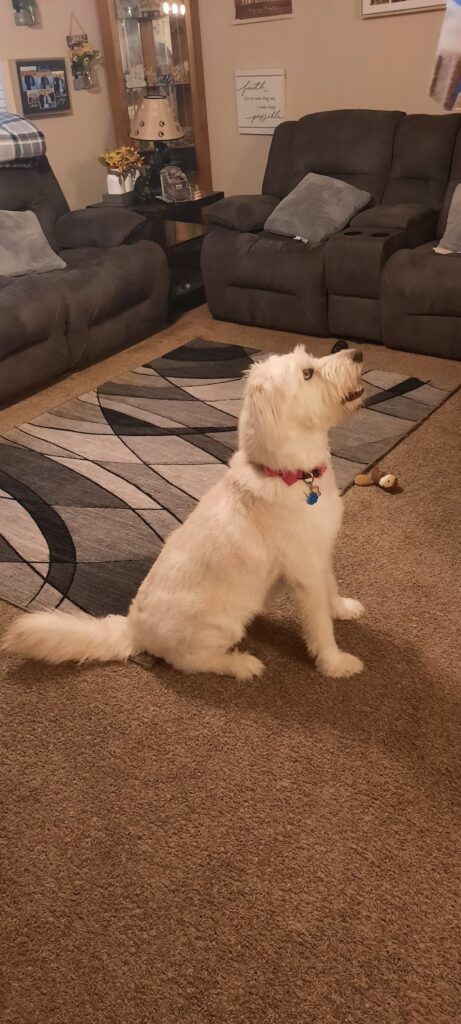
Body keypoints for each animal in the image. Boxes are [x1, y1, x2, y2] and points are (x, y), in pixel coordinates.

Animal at [2, 345, 366, 679]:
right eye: (307, 373)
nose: (357, 354)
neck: (293, 474)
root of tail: (133, 628)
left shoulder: (320, 555)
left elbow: (331, 588)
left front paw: (343, 609)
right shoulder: (305, 573)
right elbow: (320, 626)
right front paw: (336, 664)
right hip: (221, 627)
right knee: (191, 662)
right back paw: (241, 664)